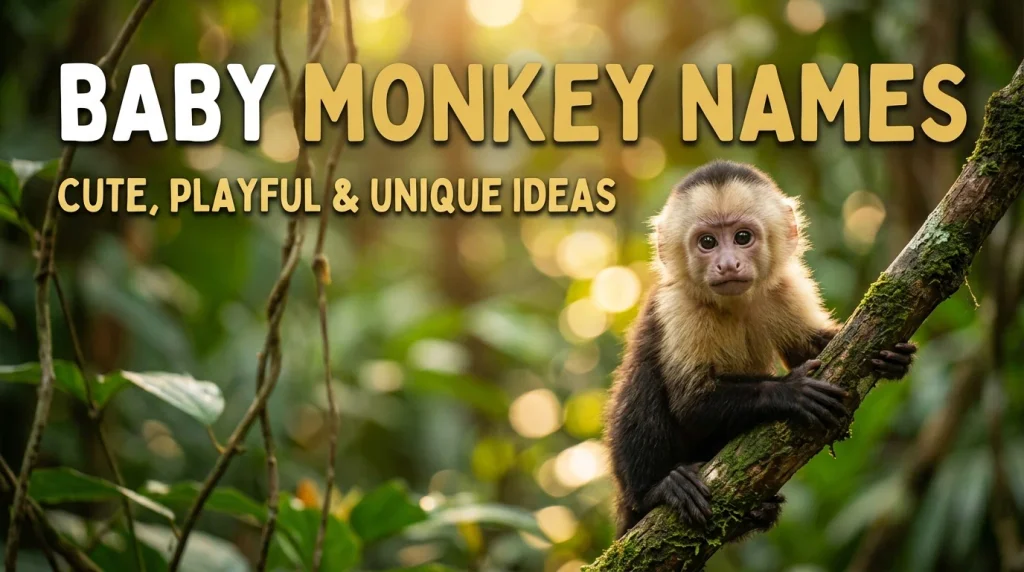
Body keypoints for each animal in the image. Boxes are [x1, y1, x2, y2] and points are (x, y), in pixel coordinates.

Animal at [606, 160, 916, 538]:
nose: (727, 264)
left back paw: (759, 512)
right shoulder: (679, 306)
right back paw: (656, 490)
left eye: (742, 237)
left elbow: (813, 348)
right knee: (643, 387)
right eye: (707, 242)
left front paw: (894, 358)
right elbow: (692, 402)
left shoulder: (786, 287)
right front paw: (791, 391)